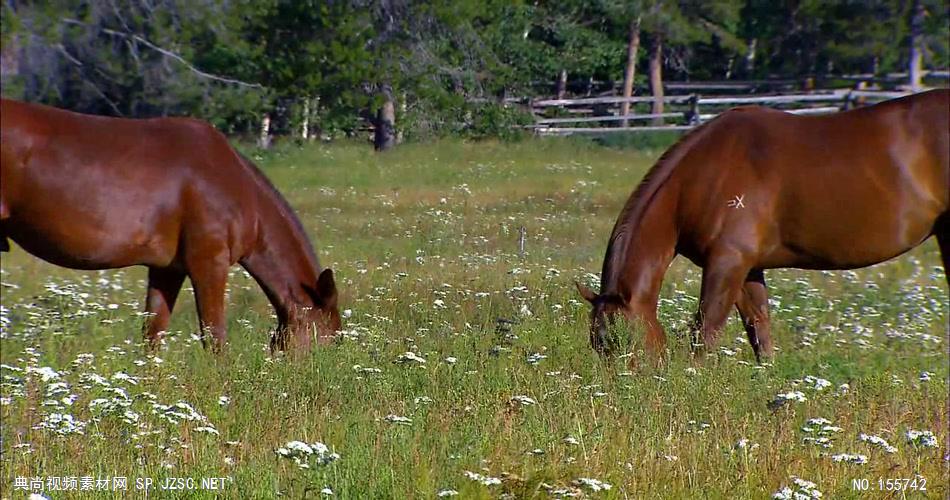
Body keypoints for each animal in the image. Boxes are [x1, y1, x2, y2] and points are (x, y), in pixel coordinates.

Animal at [0, 98, 342, 352]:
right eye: (326, 343)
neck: (240, 188)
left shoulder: (167, 269)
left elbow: (152, 334)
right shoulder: (209, 263)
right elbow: (214, 338)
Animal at [576, 90, 950, 362]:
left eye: (621, 340)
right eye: (598, 344)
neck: (703, 177)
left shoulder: (726, 263)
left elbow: (705, 333)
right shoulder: (748, 269)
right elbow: (760, 331)